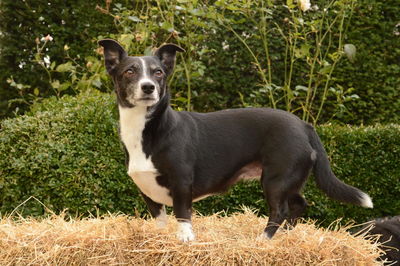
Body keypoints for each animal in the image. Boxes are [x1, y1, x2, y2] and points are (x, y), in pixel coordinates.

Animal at [98, 39, 374, 241]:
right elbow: (161, 219)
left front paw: (186, 239)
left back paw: (263, 240)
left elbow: (182, 214)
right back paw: (285, 236)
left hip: (276, 179)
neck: (148, 128)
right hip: (291, 179)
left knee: (280, 210)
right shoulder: (147, 189)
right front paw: (160, 238)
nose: (148, 87)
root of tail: (303, 125)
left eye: (158, 73)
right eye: (129, 71)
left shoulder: (181, 182)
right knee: (298, 204)